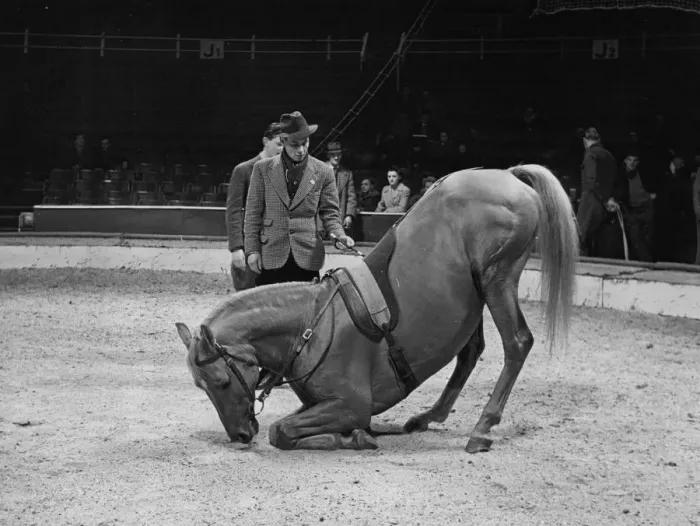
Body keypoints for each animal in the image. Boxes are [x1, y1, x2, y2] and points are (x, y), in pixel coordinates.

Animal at [175, 164, 579, 452]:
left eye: (222, 381)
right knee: (470, 353)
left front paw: (356, 437)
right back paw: (428, 417)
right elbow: (284, 428)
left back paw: (481, 430)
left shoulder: (352, 403)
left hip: (497, 278)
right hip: (473, 294)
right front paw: (357, 436)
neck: (310, 328)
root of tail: (508, 175)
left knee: (517, 343)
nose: (240, 436)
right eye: (201, 387)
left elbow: (281, 429)